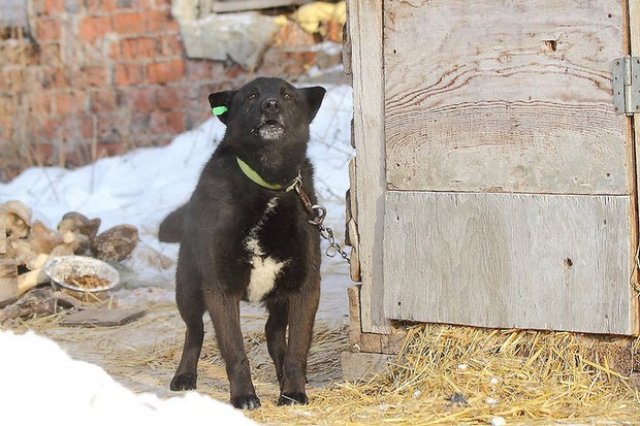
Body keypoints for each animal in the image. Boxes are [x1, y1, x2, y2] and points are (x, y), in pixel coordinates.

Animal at [169, 77, 324, 410]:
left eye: (287, 96)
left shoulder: (305, 286)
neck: (268, 184)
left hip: (280, 298)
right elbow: (235, 352)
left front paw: (293, 392)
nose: (271, 105)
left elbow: (297, 348)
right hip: (187, 290)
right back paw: (184, 375)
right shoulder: (220, 290)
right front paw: (243, 396)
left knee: (273, 332)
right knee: (195, 331)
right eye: (252, 95)